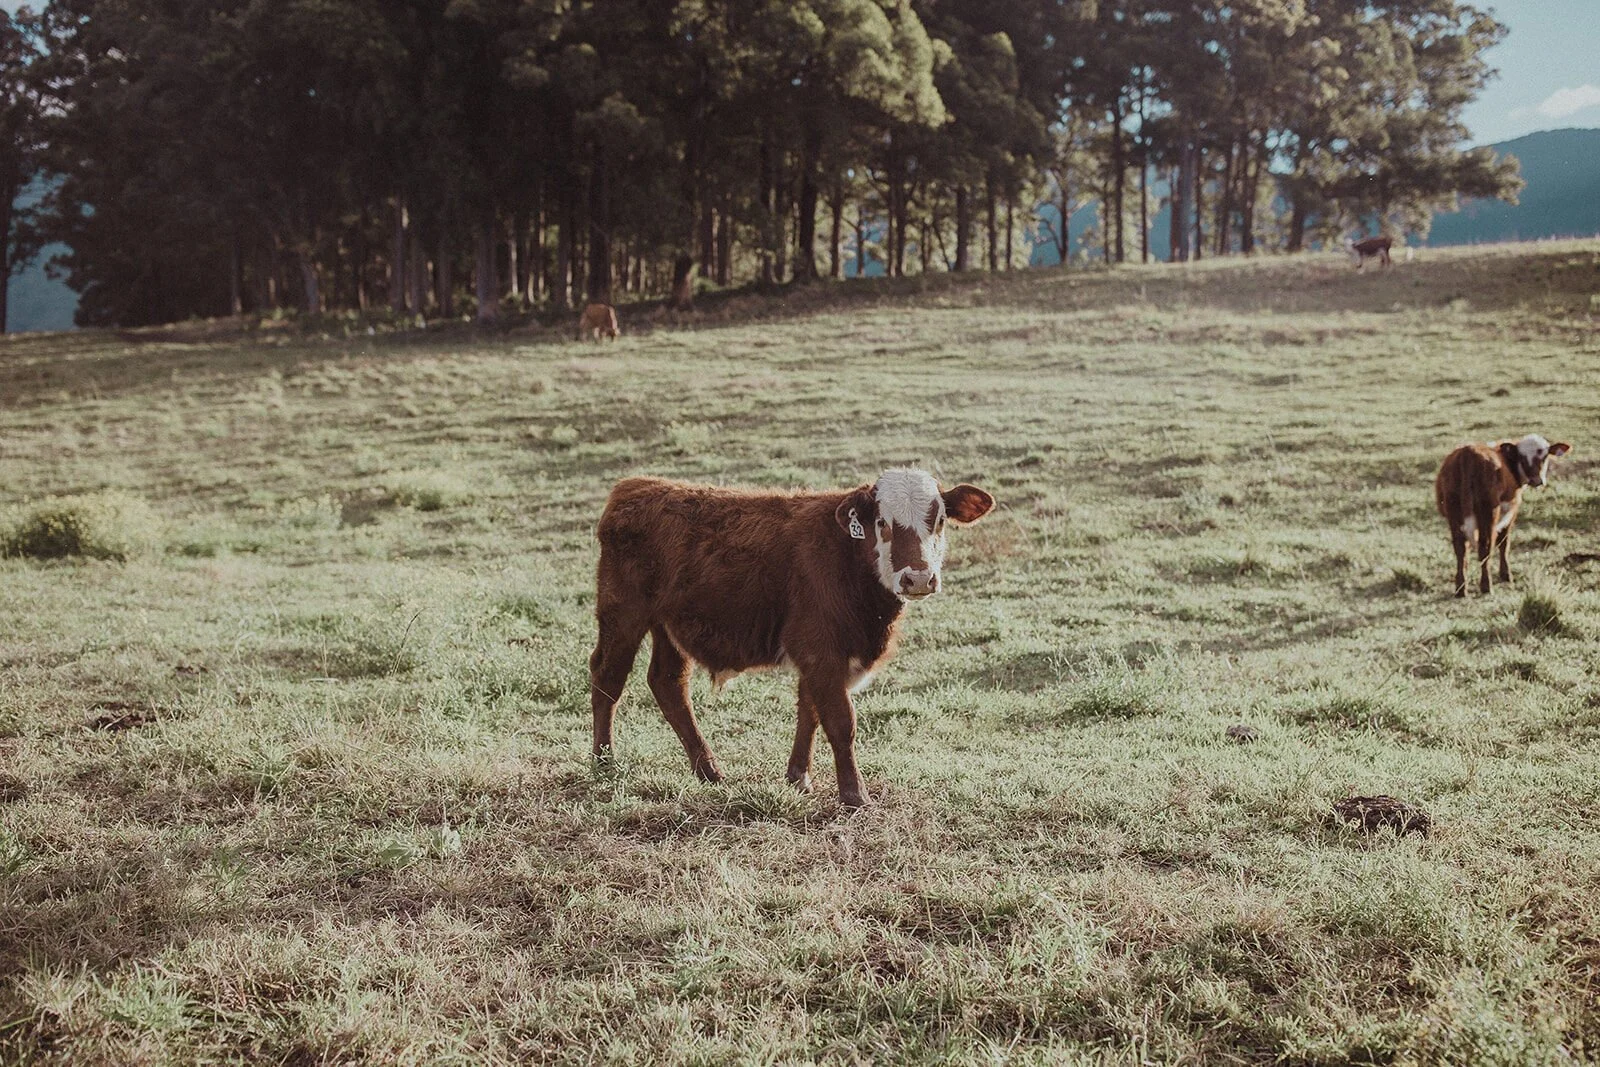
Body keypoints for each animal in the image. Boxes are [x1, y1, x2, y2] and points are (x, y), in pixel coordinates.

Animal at [588, 469, 996, 807]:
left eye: (939, 521)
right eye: (883, 522)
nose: (919, 578)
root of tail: (635, 487)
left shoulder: (819, 658)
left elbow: (809, 713)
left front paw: (798, 777)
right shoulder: (820, 650)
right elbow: (841, 721)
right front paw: (855, 795)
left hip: (669, 628)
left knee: (668, 683)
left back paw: (708, 771)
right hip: (622, 615)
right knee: (607, 679)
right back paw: (604, 762)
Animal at [1435, 435, 1572, 597]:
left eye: (1544, 457)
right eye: (1522, 457)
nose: (1537, 480)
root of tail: (1467, 453)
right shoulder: (1511, 511)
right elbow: (1504, 542)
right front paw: (1506, 574)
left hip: (1454, 513)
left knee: (1460, 549)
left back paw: (1461, 588)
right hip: (1488, 513)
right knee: (1485, 547)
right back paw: (1486, 586)